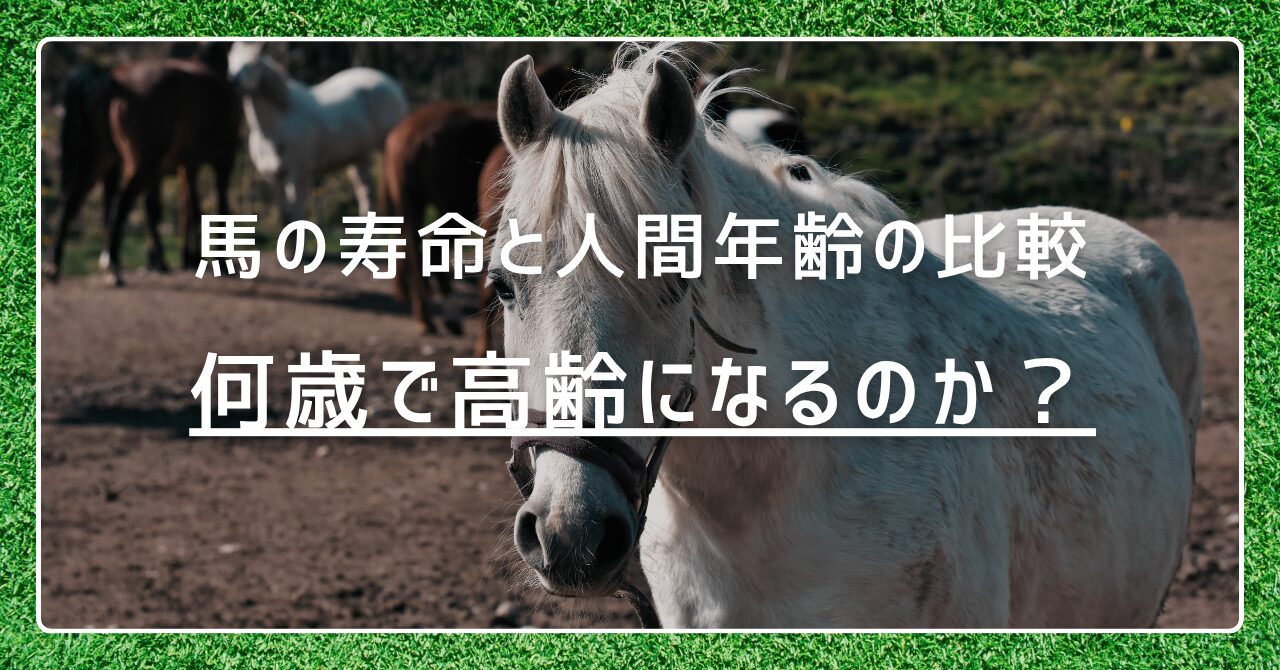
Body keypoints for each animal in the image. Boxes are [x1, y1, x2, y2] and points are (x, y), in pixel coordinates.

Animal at [47, 44, 237, 283]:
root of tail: (115, 81)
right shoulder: (223, 160)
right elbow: (217, 208)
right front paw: (217, 260)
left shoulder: (186, 166)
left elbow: (186, 208)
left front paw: (186, 259)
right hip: (141, 163)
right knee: (119, 203)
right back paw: (112, 265)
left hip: (101, 158)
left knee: (70, 202)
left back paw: (54, 265)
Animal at [227, 43, 409, 226]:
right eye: (230, 62)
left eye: (252, 64)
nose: (234, 82)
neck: (273, 129)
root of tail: (393, 85)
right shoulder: (272, 178)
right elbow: (286, 218)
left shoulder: (297, 174)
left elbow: (295, 216)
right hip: (358, 156)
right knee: (366, 192)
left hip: (385, 149)